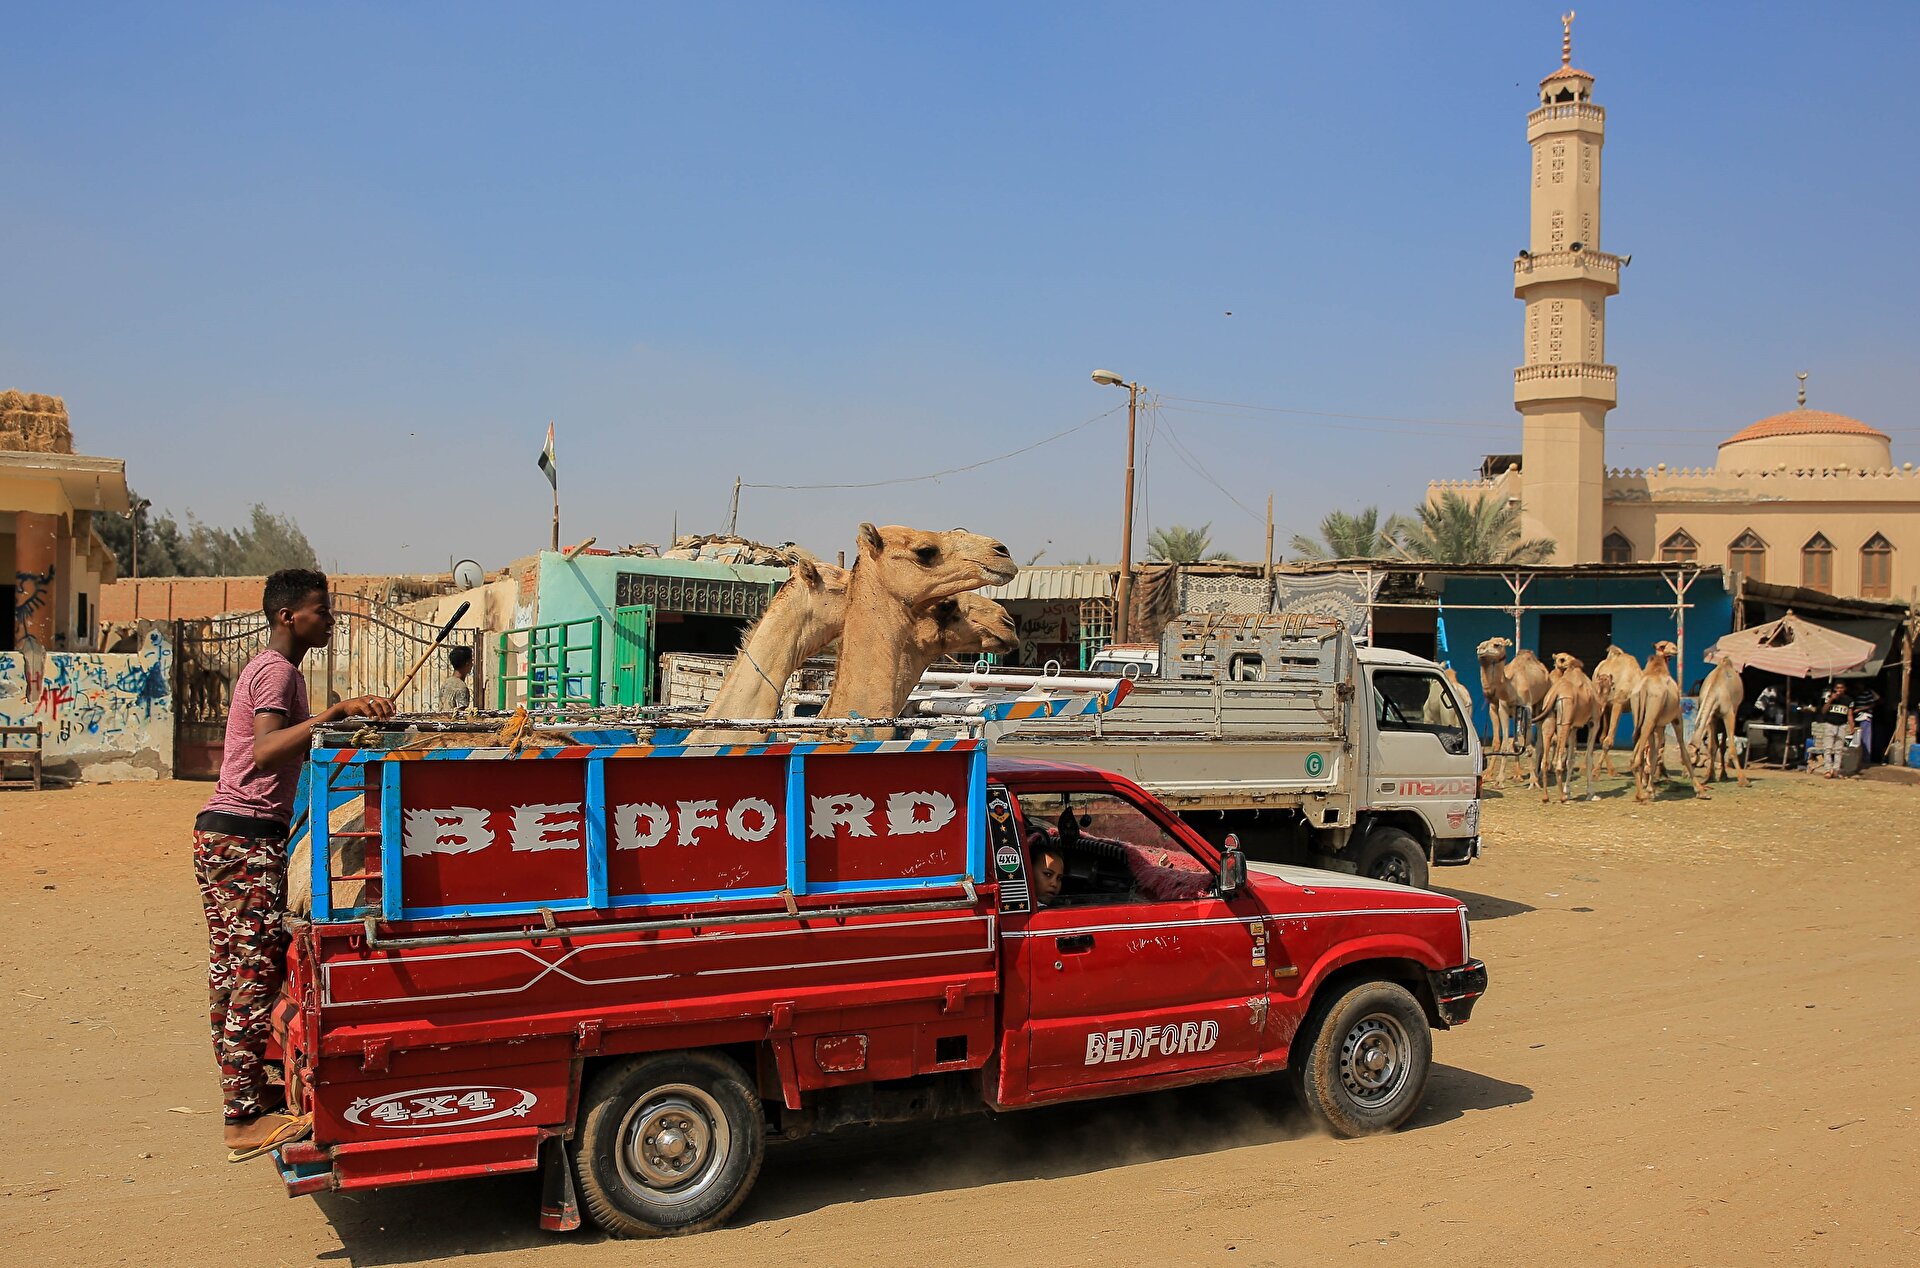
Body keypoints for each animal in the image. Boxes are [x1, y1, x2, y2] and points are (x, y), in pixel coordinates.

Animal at [1628, 637, 1720, 799]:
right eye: (1665, 646)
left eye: (1670, 646)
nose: (1675, 650)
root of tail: (1644, 688)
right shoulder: (1677, 717)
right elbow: (1684, 752)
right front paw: (1700, 790)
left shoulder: (1659, 725)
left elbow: (1654, 753)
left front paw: (1651, 789)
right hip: (1650, 719)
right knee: (1638, 757)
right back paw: (1641, 796)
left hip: (1641, 719)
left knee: (1640, 751)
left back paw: (1641, 793)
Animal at [1689, 653, 1751, 783]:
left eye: (1693, 757)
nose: (1685, 773)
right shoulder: (1713, 717)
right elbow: (1713, 747)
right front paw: (1709, 777)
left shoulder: (1728, 714)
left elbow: (1731, 748)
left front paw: (1743, 780)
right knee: (1720, 746)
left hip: (1733, 711)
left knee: (1724, 745)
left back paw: (1725, 775)